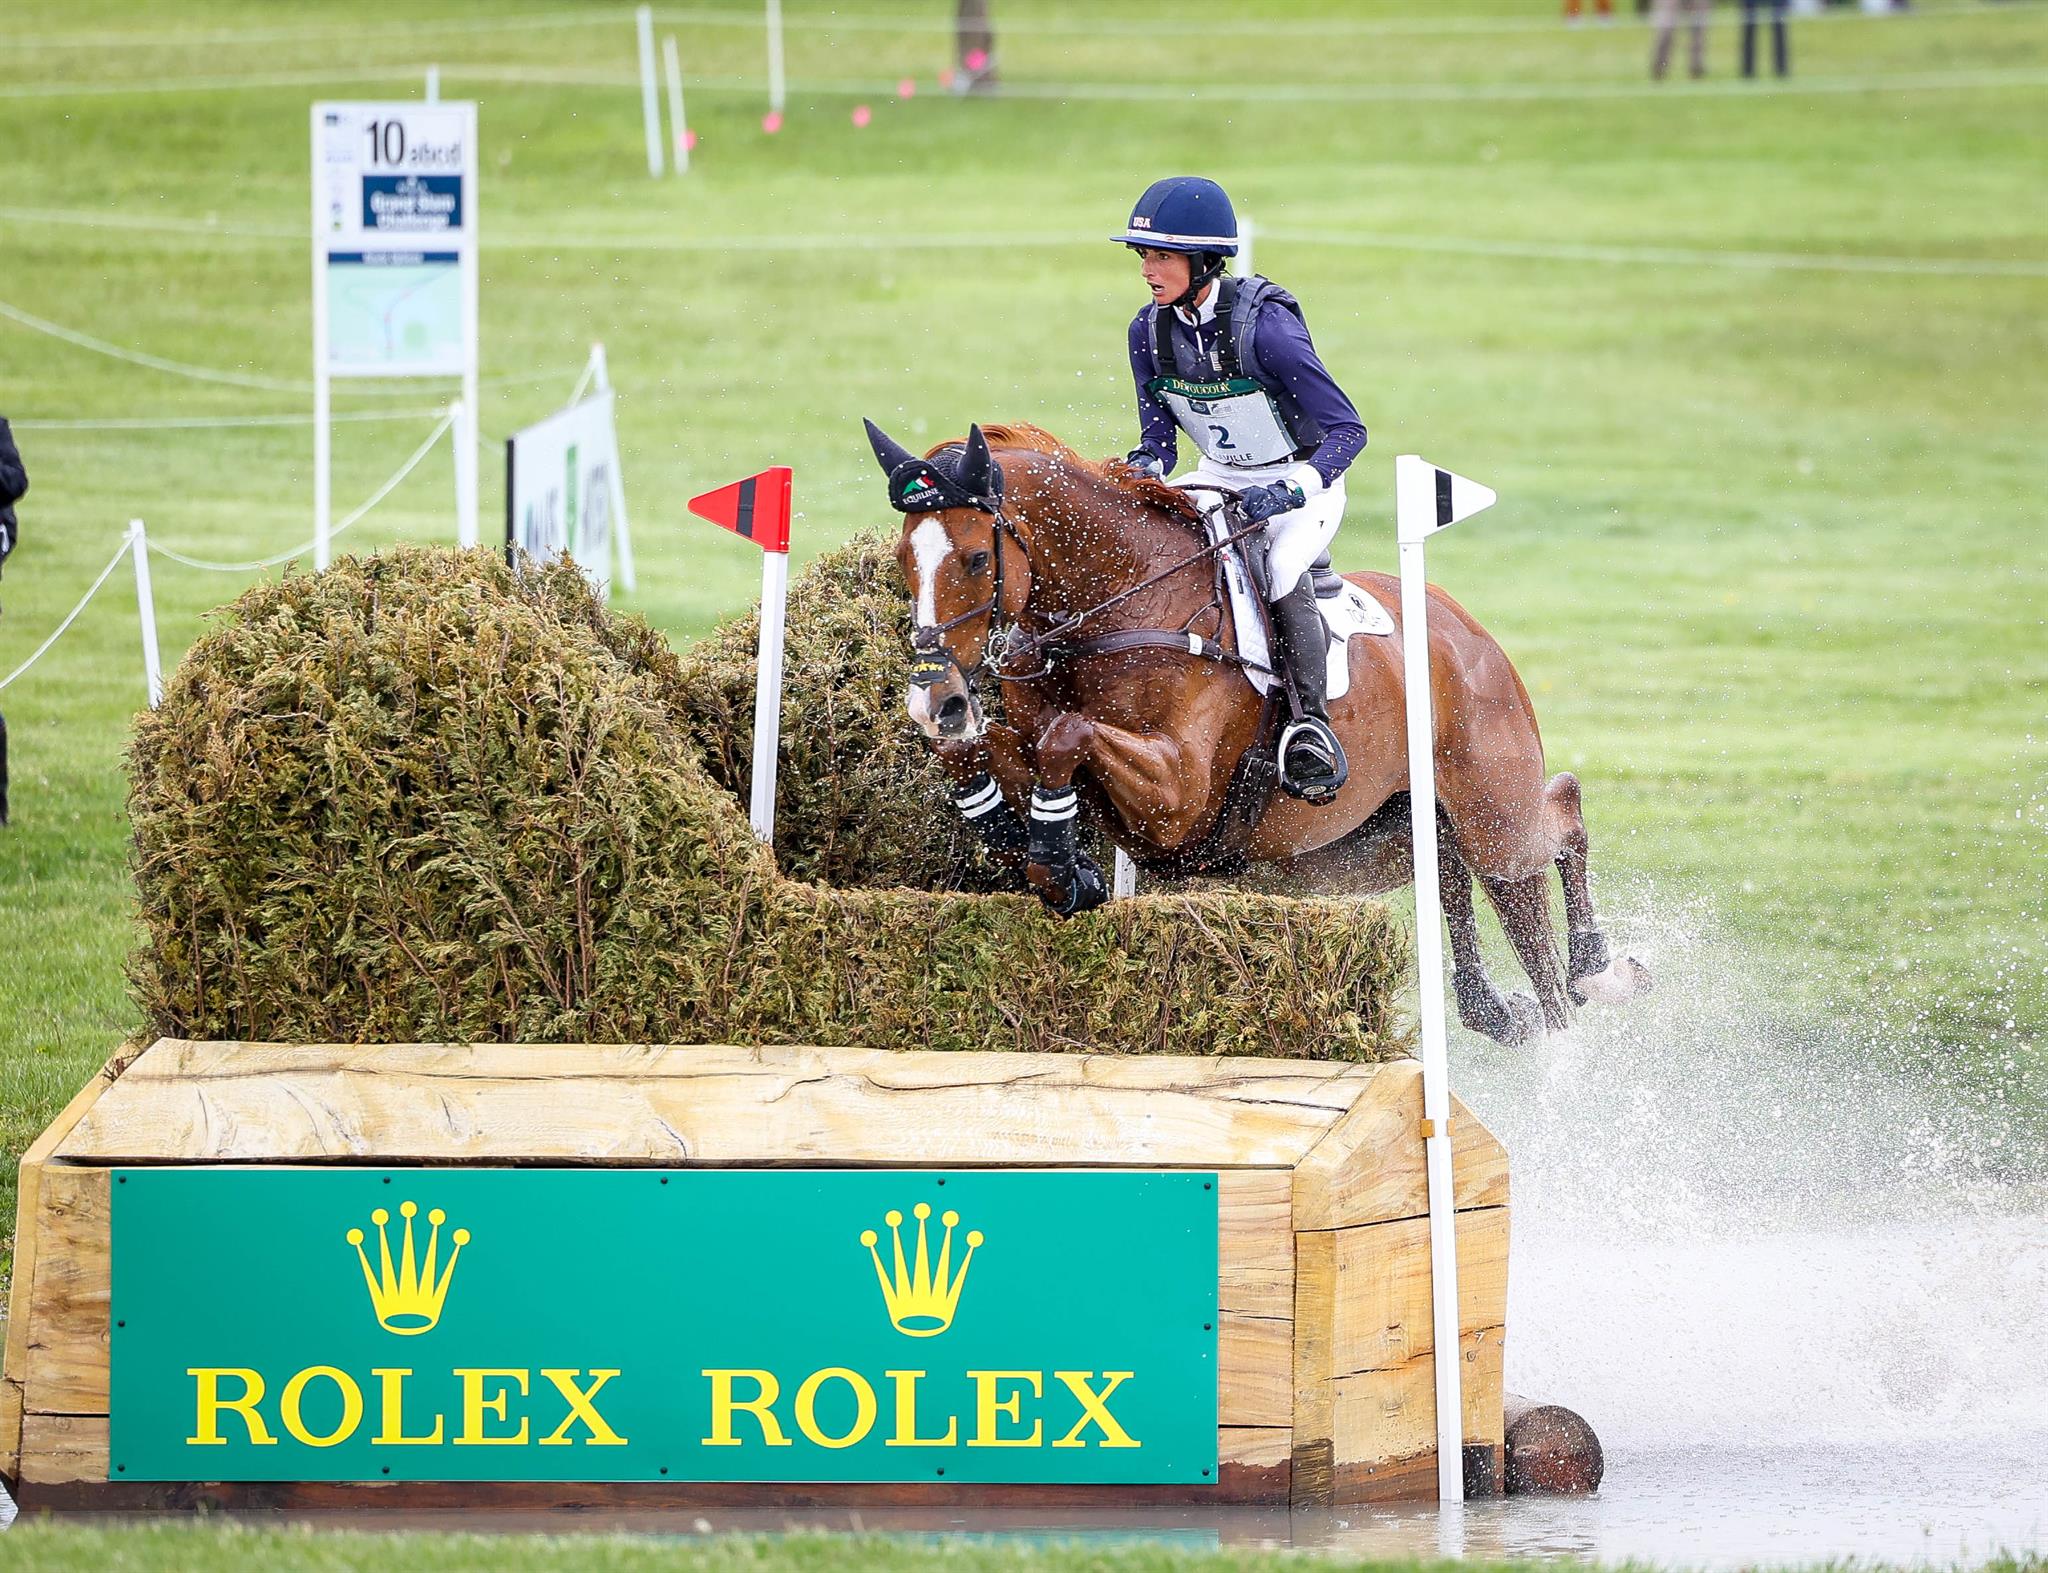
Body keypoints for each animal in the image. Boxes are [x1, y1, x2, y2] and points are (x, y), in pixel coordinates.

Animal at [864, 413, 1646, 1044]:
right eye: (904, 561)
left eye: (975, 558)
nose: (934, 699)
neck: (1119, 607)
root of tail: (1467, 628)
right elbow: (981, 751)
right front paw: (1005, 822)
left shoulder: (1179, 793)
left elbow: (1068, 738)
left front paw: (1060, 863)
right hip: (1372, 845)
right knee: (1466, 879)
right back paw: (1503, 1007)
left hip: (1492, 814)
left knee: (1556, 825)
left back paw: (1595, 974)